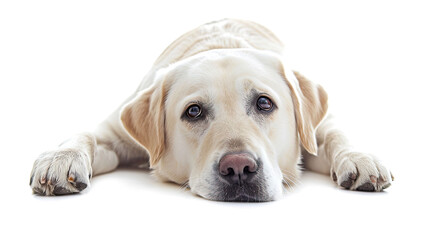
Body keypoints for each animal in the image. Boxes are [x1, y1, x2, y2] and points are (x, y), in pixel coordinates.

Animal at [29, 18, 392, 201]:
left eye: (264, 103)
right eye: (193, 112)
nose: (239, 168)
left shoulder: (316, 131)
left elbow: (335, 135)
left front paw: (360, 159)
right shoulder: (114, 133)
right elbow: (85, 135)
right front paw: (60, 159)